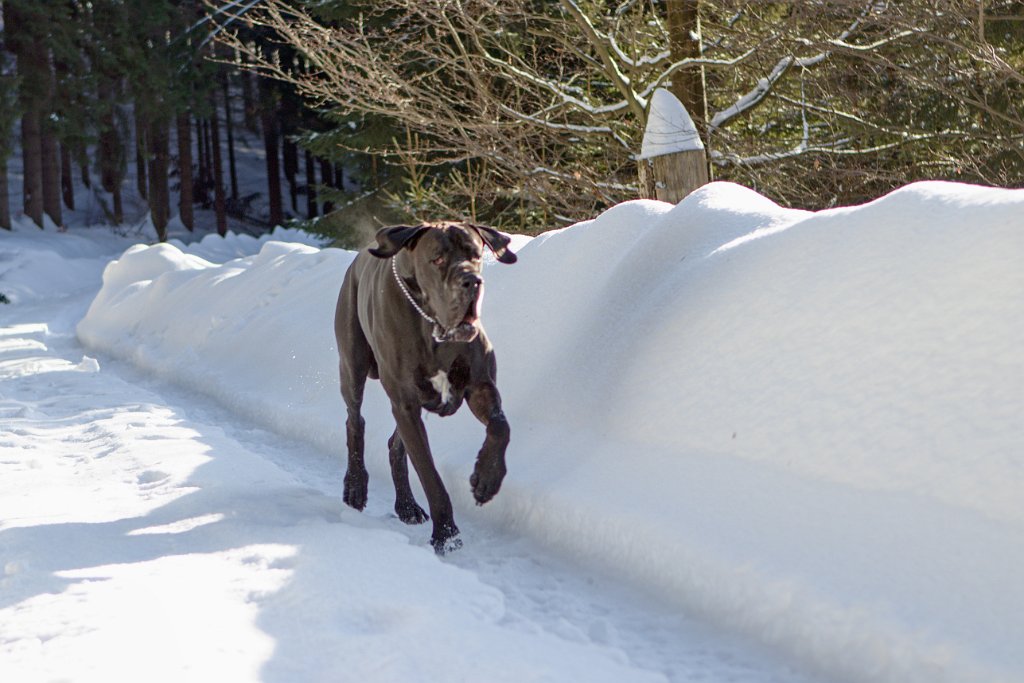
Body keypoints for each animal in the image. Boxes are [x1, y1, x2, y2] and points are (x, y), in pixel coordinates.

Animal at [333, 222, 516, 552]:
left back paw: (406, 506)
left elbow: (500, 426)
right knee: (355, 420)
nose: (472, 281)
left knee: (394, 444)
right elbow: (430, 476)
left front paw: (487, 478)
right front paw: (446, 535)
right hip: (352, 363)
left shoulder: (480, 386)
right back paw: (355, 486)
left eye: (475, 254)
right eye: (438, 259)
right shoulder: (405, 402)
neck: (432, 324)